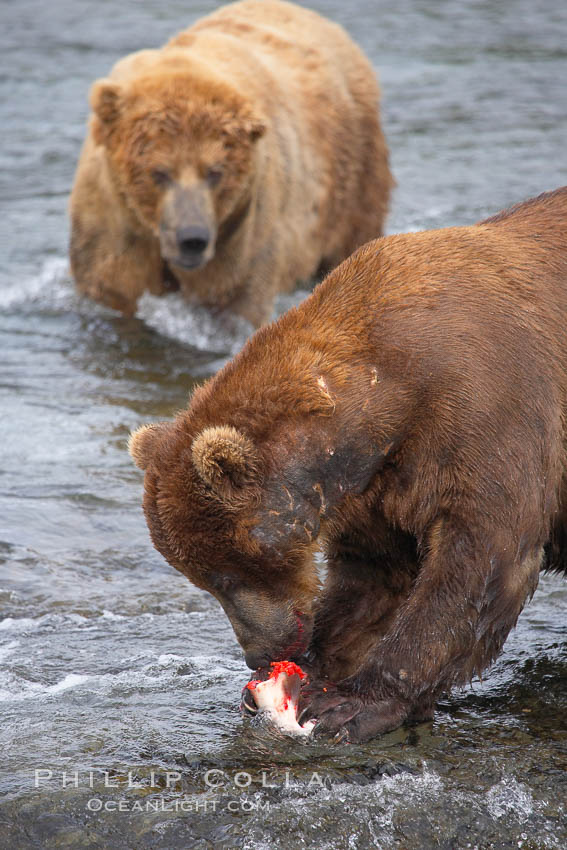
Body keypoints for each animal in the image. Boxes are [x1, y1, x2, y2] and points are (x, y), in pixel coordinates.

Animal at [69, 0, 392, 324]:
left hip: (352, 183)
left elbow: (234, 299)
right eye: (159, 172)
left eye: (215, 172)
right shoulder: (112, 227)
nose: (192, 238)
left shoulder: (242, 232)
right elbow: (113, 287)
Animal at [129, 187, 567, 744]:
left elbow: (480, 561)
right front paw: (310, 675)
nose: (257, 653)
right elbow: (374, 575)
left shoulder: (490, 410)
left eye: (225, 574)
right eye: (199, 578)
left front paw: (354, 704)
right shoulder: (381, 483)